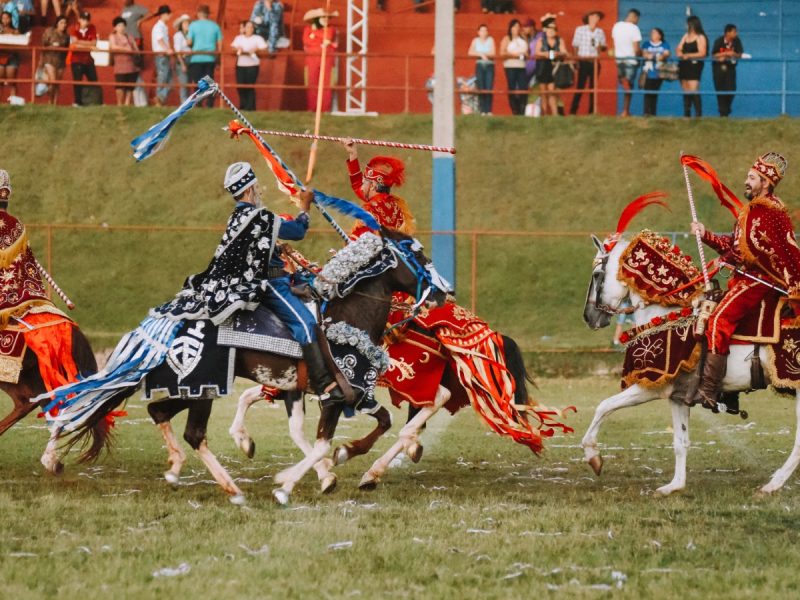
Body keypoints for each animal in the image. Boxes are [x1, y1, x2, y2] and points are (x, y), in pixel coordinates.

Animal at [580, 232, 800, 494]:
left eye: (596, 274)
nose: (589, 317)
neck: (669, 314)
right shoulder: (677, 396)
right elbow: (680, 441)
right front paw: (674, 485)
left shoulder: (649, 386)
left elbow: (603, 406)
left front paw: (593, 456)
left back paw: (773, 484)